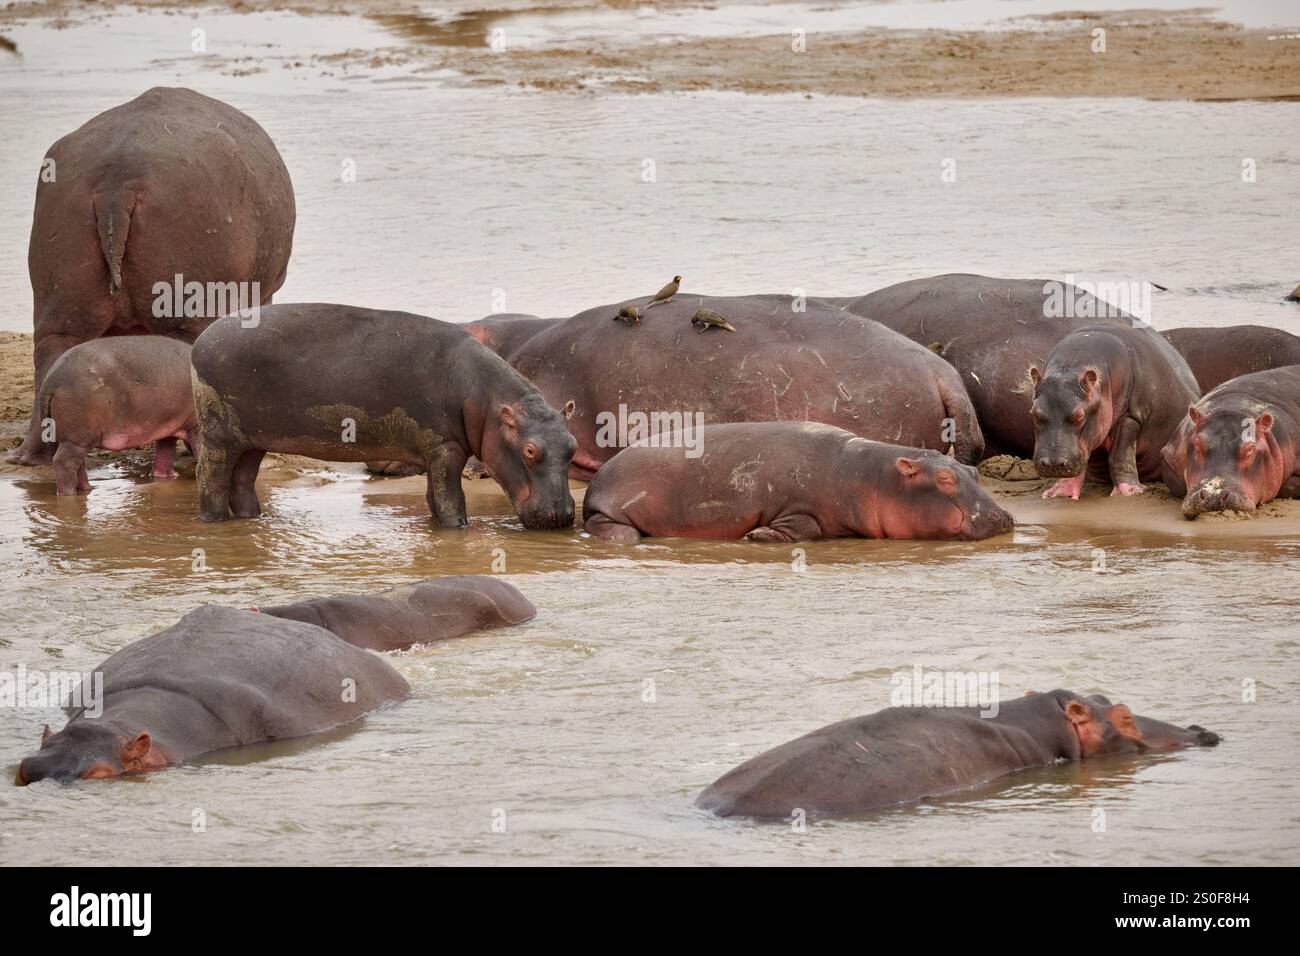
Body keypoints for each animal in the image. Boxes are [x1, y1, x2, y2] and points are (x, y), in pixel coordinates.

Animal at [34, 336, 199, 495]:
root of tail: (50, 381)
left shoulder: (169, 426)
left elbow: (164, 456)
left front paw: (169, 478)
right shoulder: (195, 426)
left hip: (76, 439)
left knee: (78, 464)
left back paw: (88, 489)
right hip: (76, 437)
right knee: (64, 463)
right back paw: (69, 494)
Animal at [190, 304, 577, 529]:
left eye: (572, 446)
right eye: (530, 450)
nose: (563, 515)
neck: (487, 401)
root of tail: (200, 341)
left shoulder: (432, 451)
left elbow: (433, 498)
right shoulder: (446, 447)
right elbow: (451, 500)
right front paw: (459, 529)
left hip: (253, 438)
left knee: (243, 480)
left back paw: (252, 519)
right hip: (220, 434)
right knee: (211, 477)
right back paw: (213, 521)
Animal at [582, 422, 1012, 542]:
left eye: (973, 472)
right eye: (944, 477)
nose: (1003, 517)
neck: (873, 476)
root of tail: (596, 482)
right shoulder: (797, 506)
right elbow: (804, 527)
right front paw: (758, 535)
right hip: (611, 511)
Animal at [1029, 325, 1199, 498]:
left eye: (1080, 416)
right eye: (1034, 414)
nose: (1053, 464)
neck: (1070, 367)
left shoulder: (1131, 416)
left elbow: (1120, 456)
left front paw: (1129, 492)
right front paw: (1060, 493)